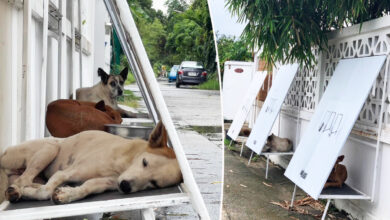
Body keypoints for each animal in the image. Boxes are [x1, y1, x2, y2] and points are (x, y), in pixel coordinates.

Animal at [0, 121, 183, 204]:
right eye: (145, 162)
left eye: (154, 183)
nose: (125, 186)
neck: (122, 163)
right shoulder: (63, 173)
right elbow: (45, 192)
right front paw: (31, 193)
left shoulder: (104, 183)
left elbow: (86, 188)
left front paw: (68, 193)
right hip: (50, 148)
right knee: (22, 180)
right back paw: (18, 190)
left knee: (26, 180)